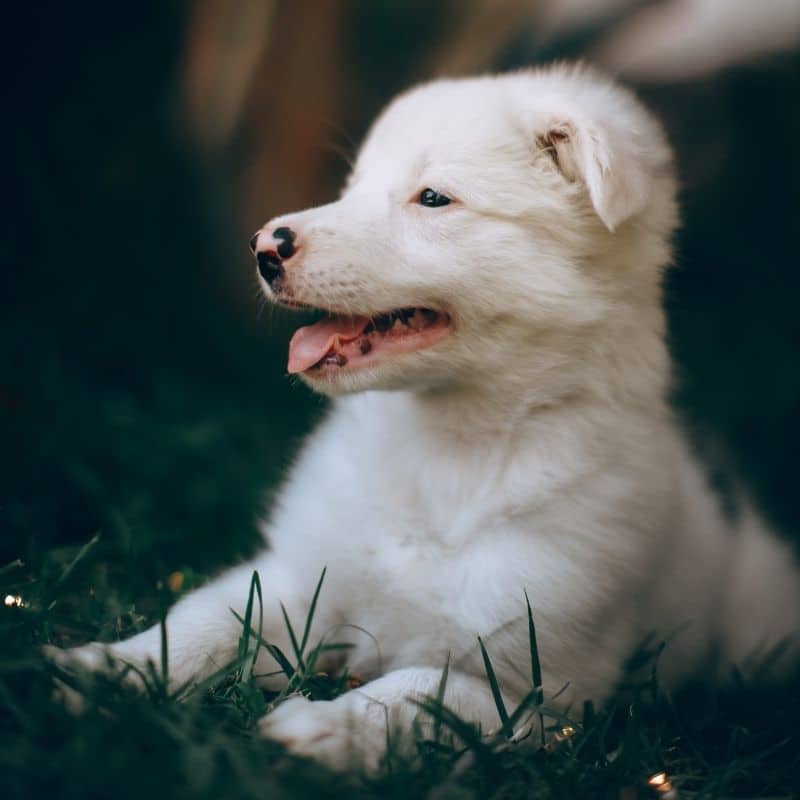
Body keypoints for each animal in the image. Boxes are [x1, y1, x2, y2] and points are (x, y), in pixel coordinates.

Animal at [53, 67, 796, 768]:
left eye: (433, 198)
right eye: (352, 187)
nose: (266, 245)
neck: (446, 447)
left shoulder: (536, 681)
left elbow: (415, 695)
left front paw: (324, 727)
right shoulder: (301, 576)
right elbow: (207, 618)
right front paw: (109, 669)